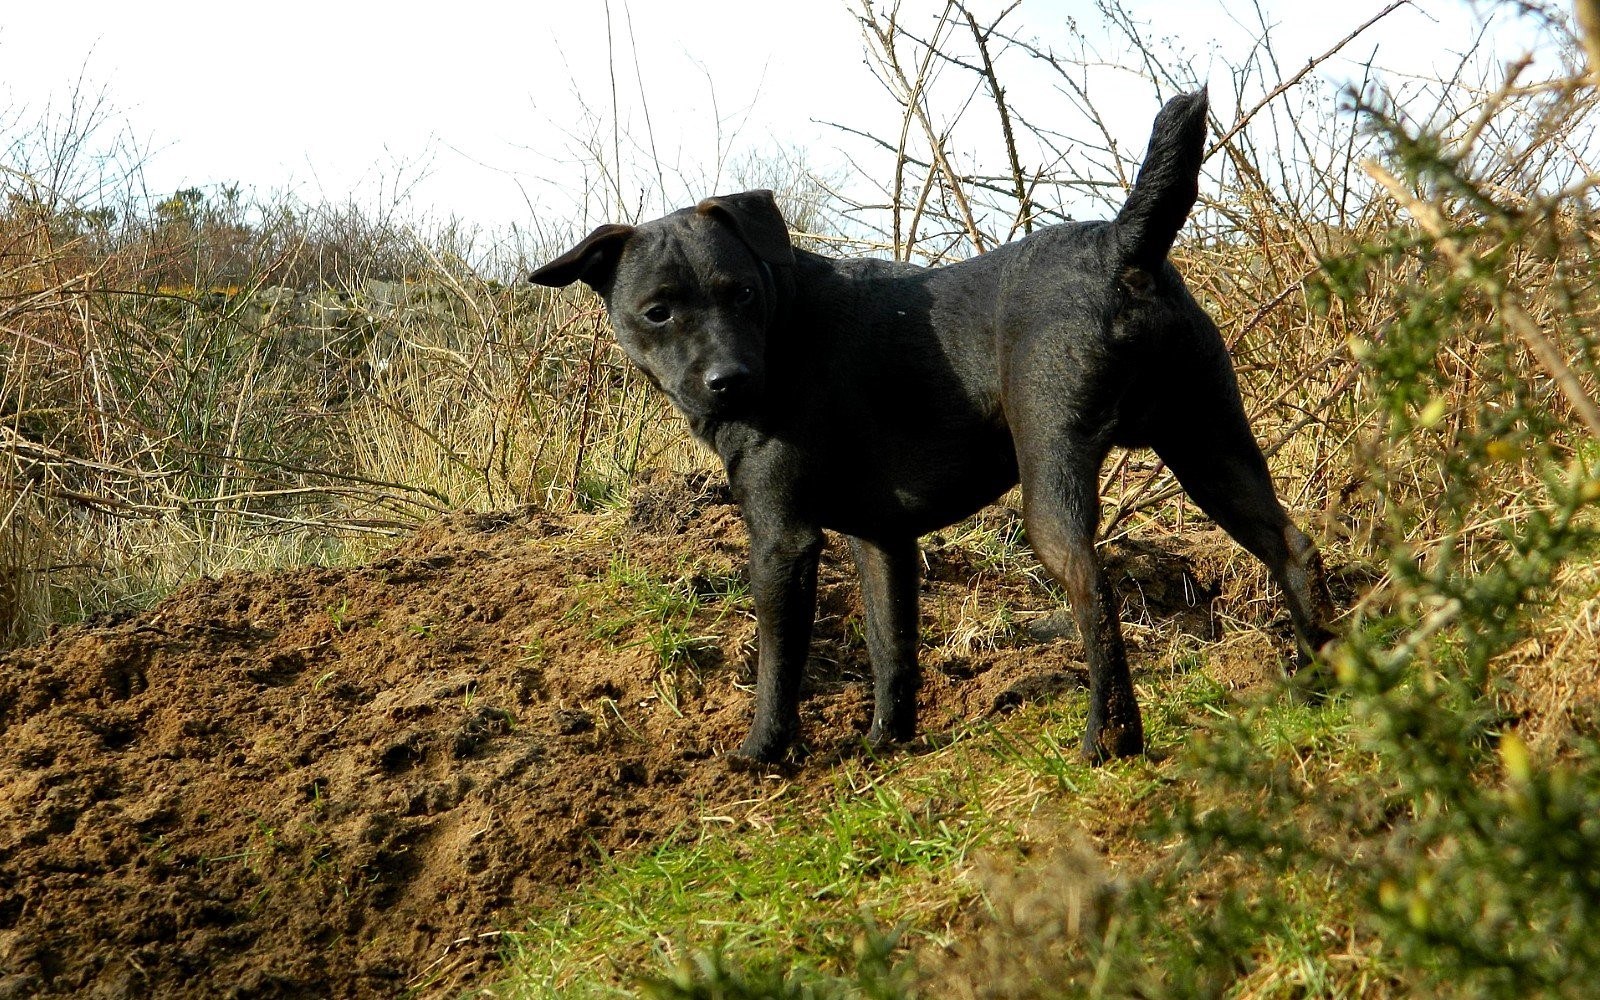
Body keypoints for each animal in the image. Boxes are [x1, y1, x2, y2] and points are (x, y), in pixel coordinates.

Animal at [531, 95, 1331, 764]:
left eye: (743, 293)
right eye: (658, 311)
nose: (730, 380)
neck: (784, 332)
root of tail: (1123, 246)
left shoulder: (783, 538)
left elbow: (778, 663)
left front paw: (761, 754)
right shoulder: (882, 540)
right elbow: (892, 647)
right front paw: (885, 741)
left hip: (1056, 475)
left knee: (1095, 594)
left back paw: (1109, 741)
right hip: (1212, 449)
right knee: (1292, 547)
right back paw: (1323, 678)